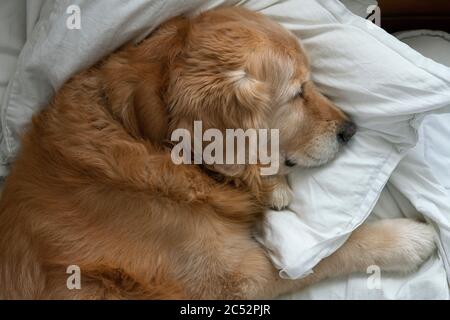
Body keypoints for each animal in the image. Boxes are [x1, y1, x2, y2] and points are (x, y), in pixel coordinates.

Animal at [0, 6, 436, 298]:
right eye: (296, 93)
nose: (350, 129)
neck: (145, 137)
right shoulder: (236, 278)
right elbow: (324, 258)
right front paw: (406, 239)